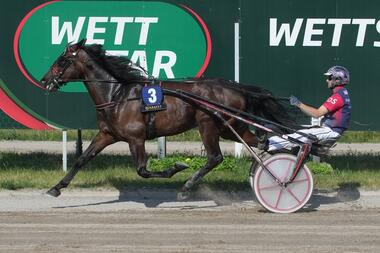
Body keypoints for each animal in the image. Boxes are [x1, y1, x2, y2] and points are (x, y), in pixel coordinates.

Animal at [40, 38, 296, 199]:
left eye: (62, 61)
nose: (45, 80)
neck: (117, 95)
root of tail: (235, 86)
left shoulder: (136, 138)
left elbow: (142, 170)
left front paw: (176, 167)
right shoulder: (107, 134)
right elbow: (82, 159)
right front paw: (56, 188)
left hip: (208, 124)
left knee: (215, 157)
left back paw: (187, 187)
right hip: (230, 125)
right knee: (261, 142)